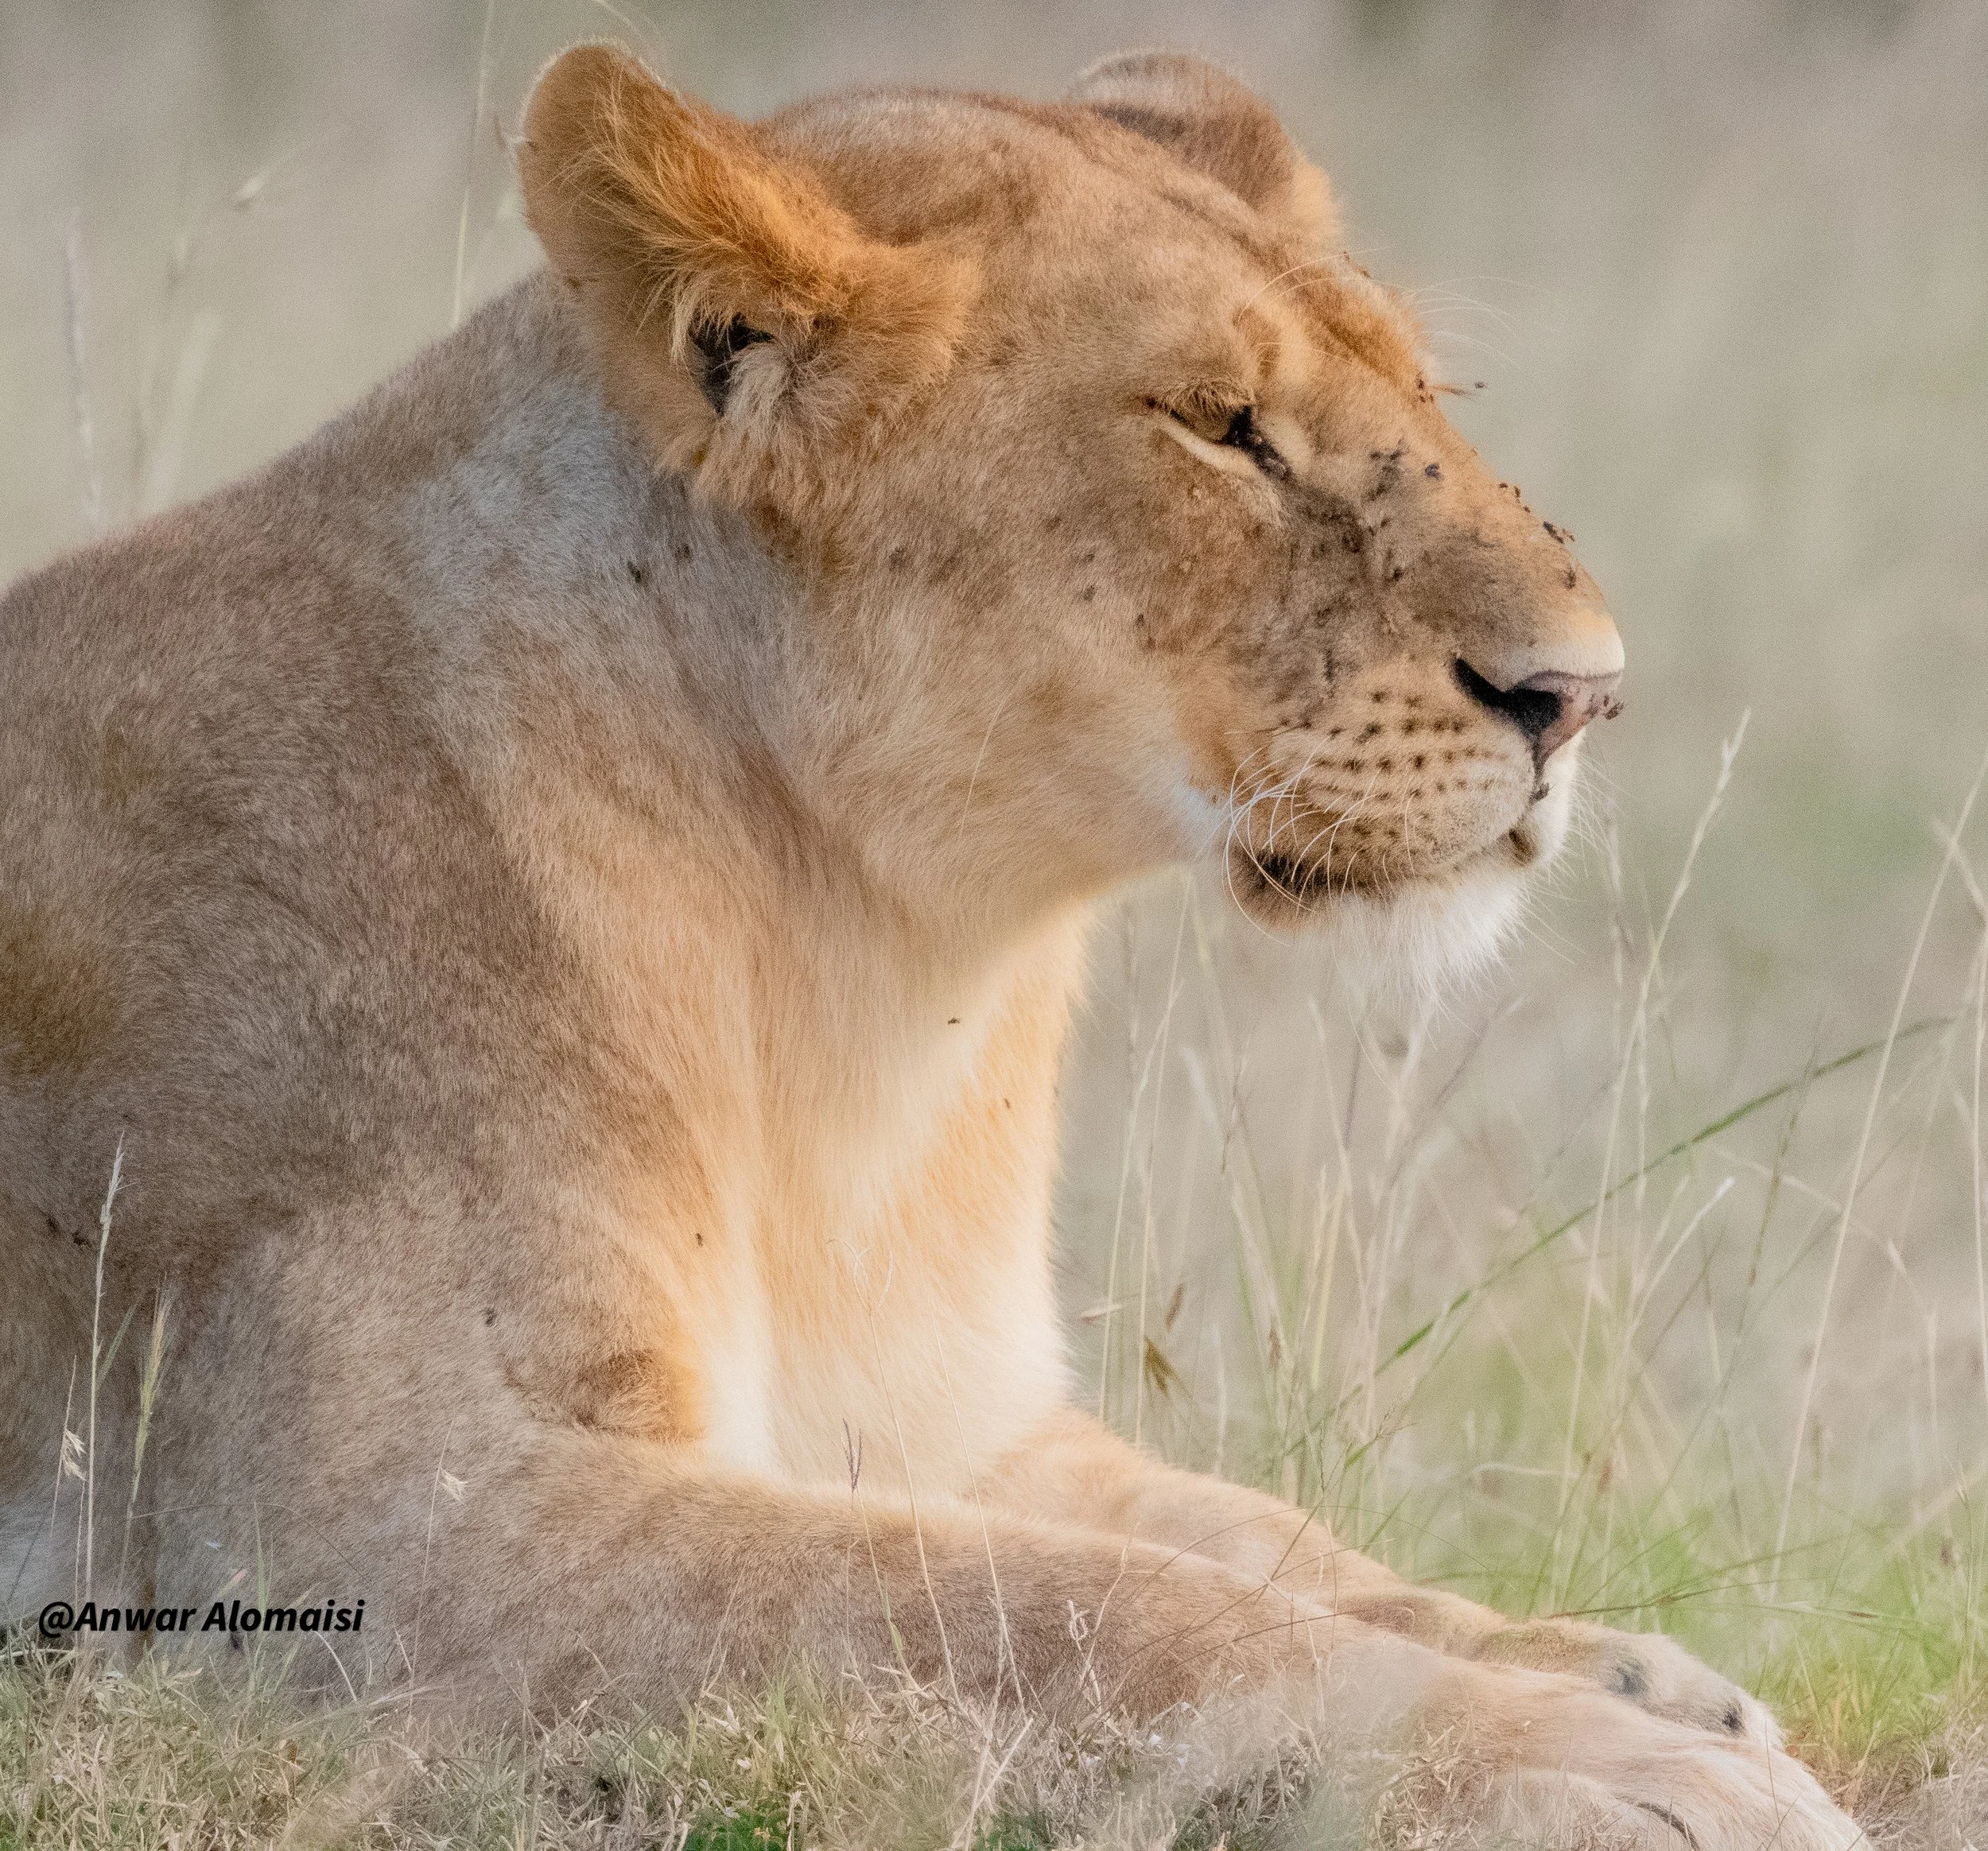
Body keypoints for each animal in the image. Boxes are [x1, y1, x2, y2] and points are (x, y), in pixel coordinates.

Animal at [0, 44, 1854, 1847]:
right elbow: (1071, 1610)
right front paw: (1628, 1774)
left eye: (1418, 391)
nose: (1582, 693)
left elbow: (1255, 1540)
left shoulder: (944, 1413)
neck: (865, 969)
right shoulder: (366, 1537)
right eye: (1220, 428)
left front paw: (1627, 1673)